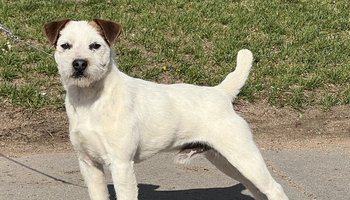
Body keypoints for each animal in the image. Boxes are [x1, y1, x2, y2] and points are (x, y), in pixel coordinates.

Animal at [44, 19, 288, 200]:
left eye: (95, 46)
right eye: (65, 46)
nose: (79, 64)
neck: (92, 100)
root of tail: (221, 93)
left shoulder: (121, 165)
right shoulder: (89, 164)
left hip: (244, 157)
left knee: (275, 189)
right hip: (226, 160)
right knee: (259, 191)